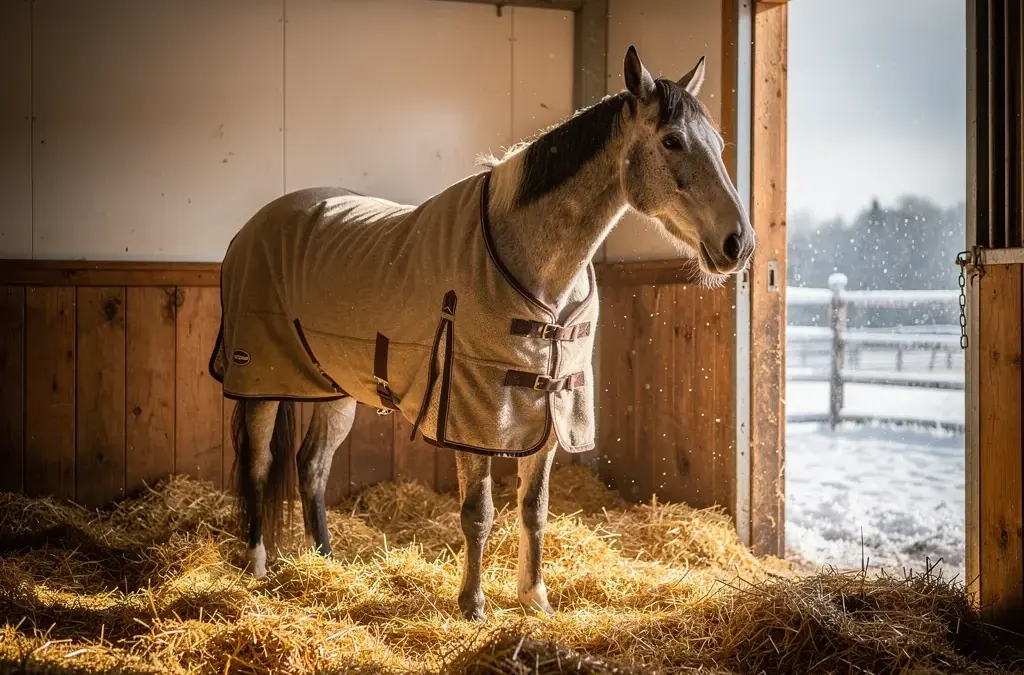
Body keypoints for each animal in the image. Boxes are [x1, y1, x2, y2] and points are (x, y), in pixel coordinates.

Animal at [209, 45, 754, 621]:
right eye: (672, 140)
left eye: (718, 144)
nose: (738, 243)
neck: (531, 262)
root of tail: (252, 229)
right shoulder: (469, 415)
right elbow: (478, 512)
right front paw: (472, 605)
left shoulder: (550, 410)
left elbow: (534, 510)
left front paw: (535, 599)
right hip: (261, 383)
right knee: (259, 467)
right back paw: (256, 568)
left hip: (335, 388)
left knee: (311, 467)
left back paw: (326, 563)